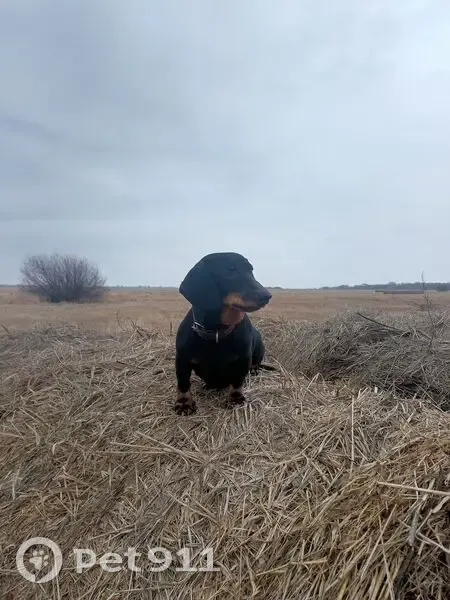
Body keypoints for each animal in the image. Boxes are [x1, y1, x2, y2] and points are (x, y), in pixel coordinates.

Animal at [174, 252, 273, 415]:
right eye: (230, 270)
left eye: (250, 270)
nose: (267, 296)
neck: (216, 333)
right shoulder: (182, 359)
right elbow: (183, 383)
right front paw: (184, 403)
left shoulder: (242, 360)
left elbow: (237, 381)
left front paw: (236, 398)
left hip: (260, 347)